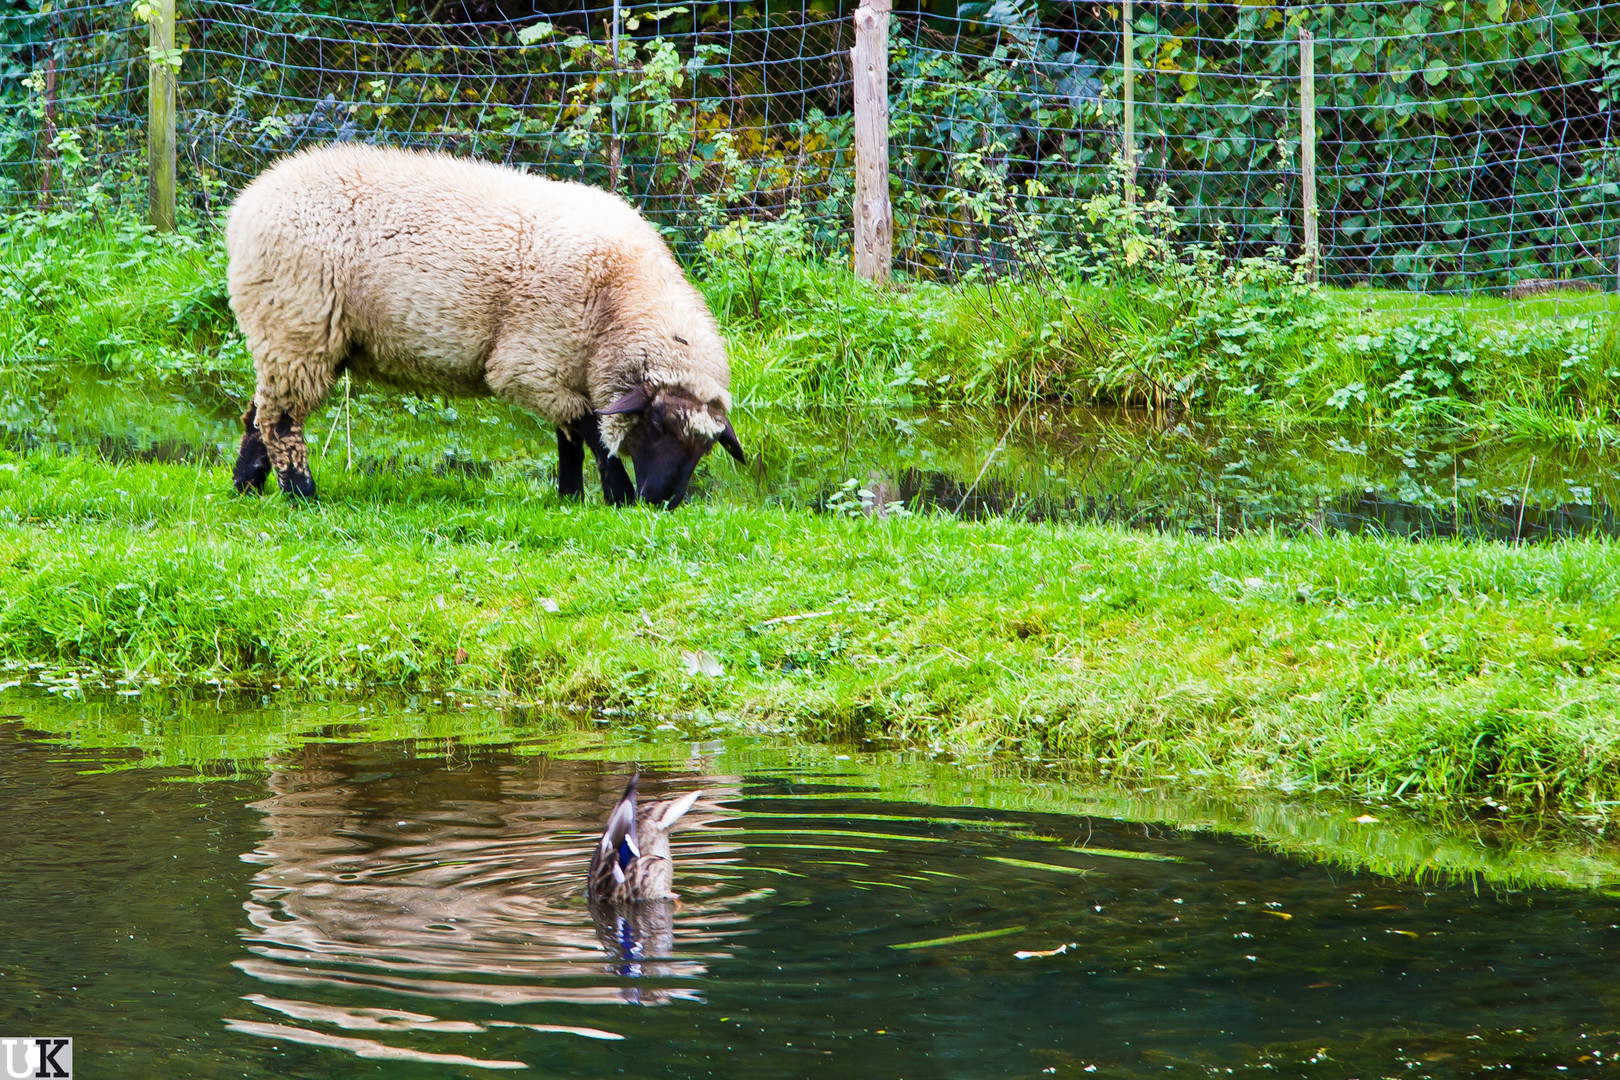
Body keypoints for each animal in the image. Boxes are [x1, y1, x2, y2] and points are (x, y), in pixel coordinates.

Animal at [225, 142, 741, 508]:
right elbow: (592, 431)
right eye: (655, 423)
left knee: (257, 412)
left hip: (282, 335)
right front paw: (618, 496)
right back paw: (301, 495)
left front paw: (571, 497)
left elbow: (571, 439)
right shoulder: (529, 365)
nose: (662, 502)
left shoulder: (562, 365)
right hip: (298, 326)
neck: (620, 298)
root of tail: (247, 205)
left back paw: (246, 486)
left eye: (705, 448)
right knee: (280, 420)